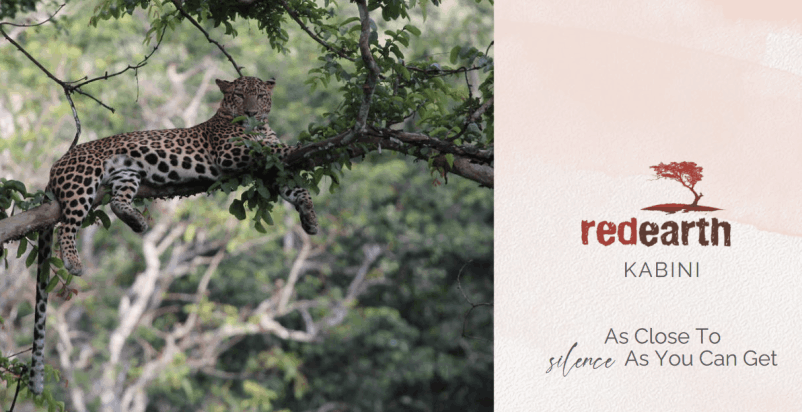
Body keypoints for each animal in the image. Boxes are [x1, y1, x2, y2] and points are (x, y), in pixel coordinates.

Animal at [28, 76, 318, 395]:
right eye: (240, 95)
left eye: (261, 96)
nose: (251, 113)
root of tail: (58, 162)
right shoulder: (230, 152)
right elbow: (266, 150)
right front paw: (300, 145)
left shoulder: (270, 173)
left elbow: (294, 185)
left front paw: (310, 216)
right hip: (83, 179)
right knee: (66, 225)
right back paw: (73, 261)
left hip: (125, 174)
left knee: (117, 202)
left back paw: (138, 222)